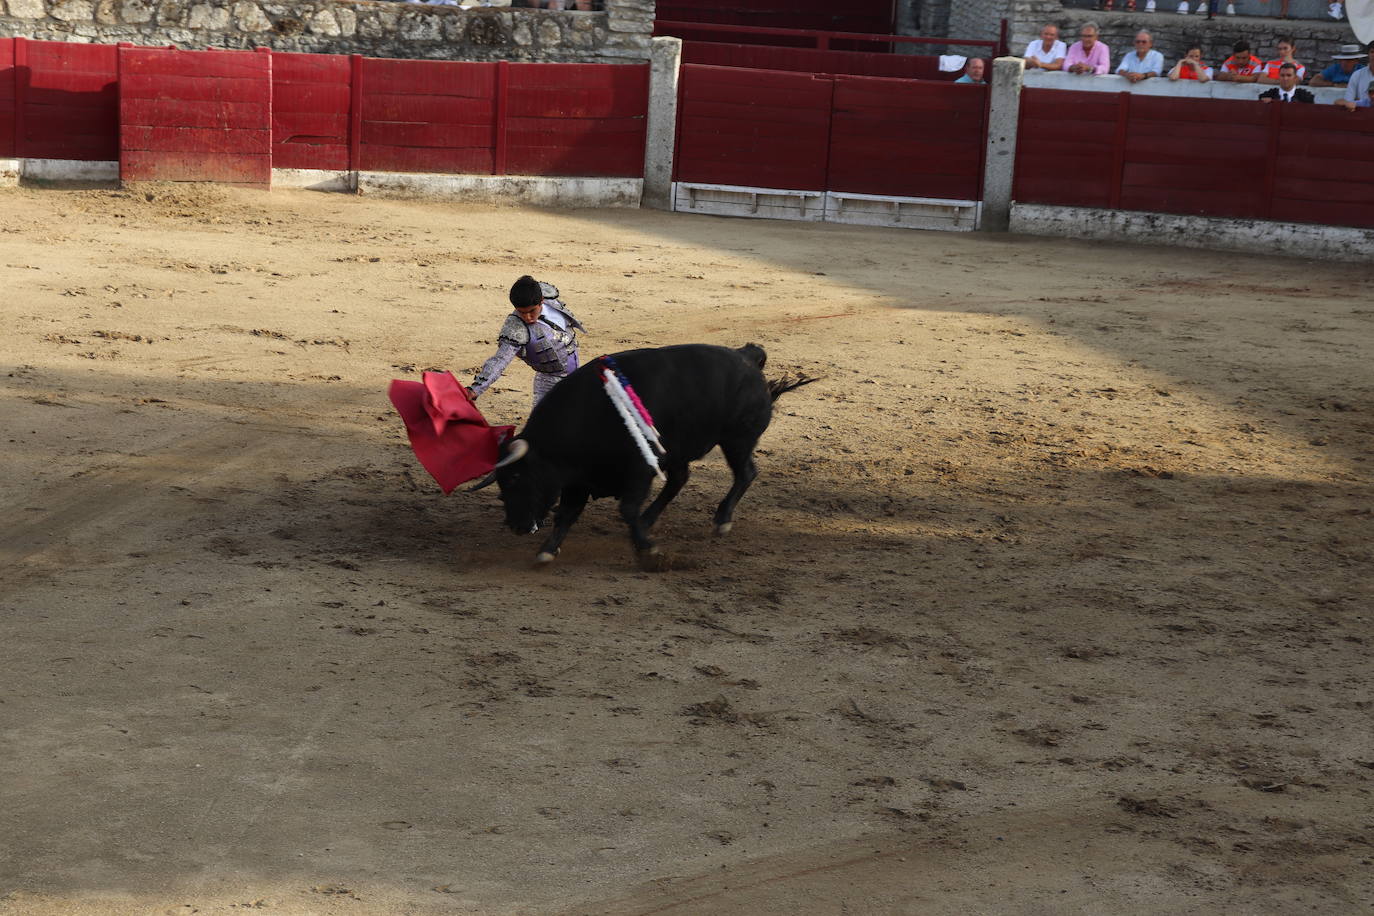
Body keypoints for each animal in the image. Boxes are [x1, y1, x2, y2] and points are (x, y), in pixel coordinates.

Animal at [483, 341, 813, 563]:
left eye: (515, 478)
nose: (516, 526)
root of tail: (748, 357)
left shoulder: (639, 468)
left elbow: (626, 508)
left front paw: (648, 549)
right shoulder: (578, 477)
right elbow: (566, 514)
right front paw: (548, 551)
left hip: (737, 439)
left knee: (745, 473)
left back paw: (722, 520)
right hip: (681, 450)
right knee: (679, 480)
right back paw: (649, 519)